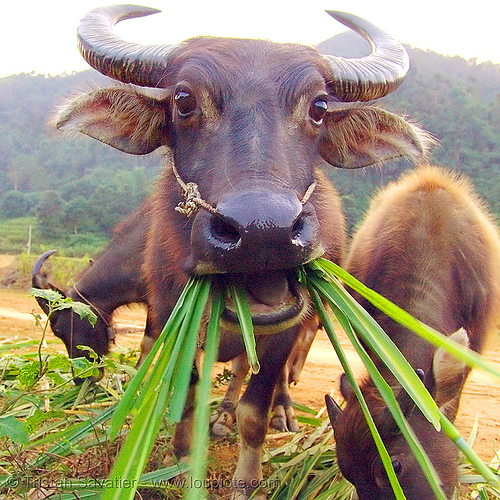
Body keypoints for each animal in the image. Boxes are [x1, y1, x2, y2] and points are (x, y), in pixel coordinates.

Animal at [54, 5, 430, 498]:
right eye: (183, 100)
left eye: (319, 107)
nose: (263, 231)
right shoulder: (169, 315)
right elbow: (186, 397)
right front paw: (180, 462)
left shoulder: (283, 332)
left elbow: (256, 408)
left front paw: (246, 480)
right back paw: (221, 414)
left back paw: (279, 410)